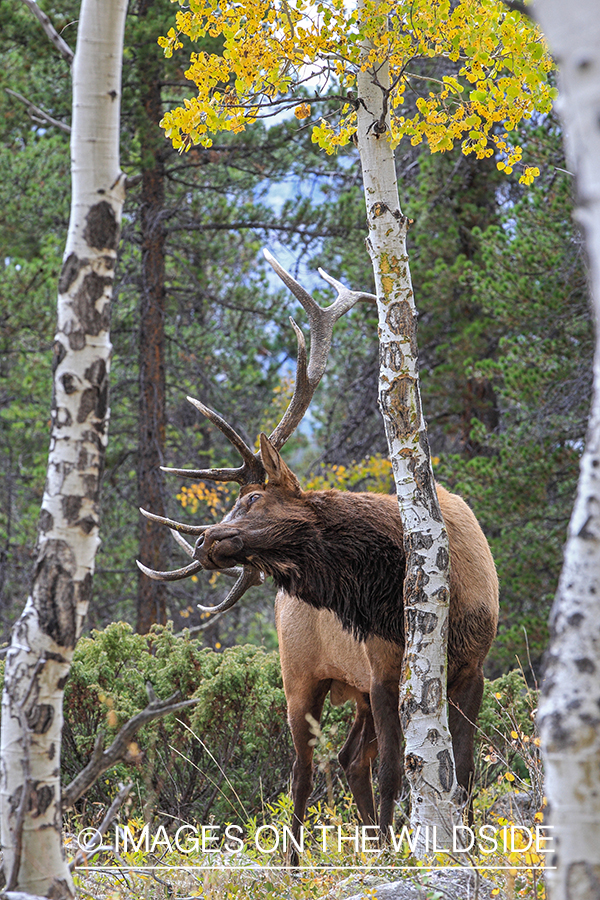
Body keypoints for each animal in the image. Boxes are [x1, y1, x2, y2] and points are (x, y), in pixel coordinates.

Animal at [136, 251, 496, 856]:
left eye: (252, 498)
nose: (206, 540)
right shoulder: (384, 668)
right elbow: (396, 771)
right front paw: (397, 857)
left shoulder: (473, 666)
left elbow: (461, 773)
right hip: (300, 675)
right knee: (303, 773)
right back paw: (296, 864)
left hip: (351, 690)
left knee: (350, 761)